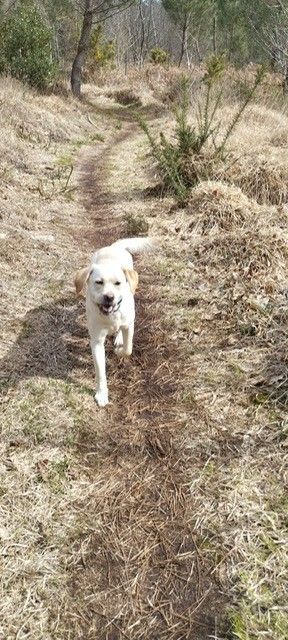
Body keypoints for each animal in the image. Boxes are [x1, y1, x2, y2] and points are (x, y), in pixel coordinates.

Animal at [73, 238, 153, 408]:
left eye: (118, 283)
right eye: (99, 282)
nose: (109, 297)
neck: (110, 316)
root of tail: (114, 247)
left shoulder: (129, 325)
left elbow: (128, 349)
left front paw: (119, 350)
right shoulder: (96, 341)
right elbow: (100, 372)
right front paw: (102, 394)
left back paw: (118, 339)